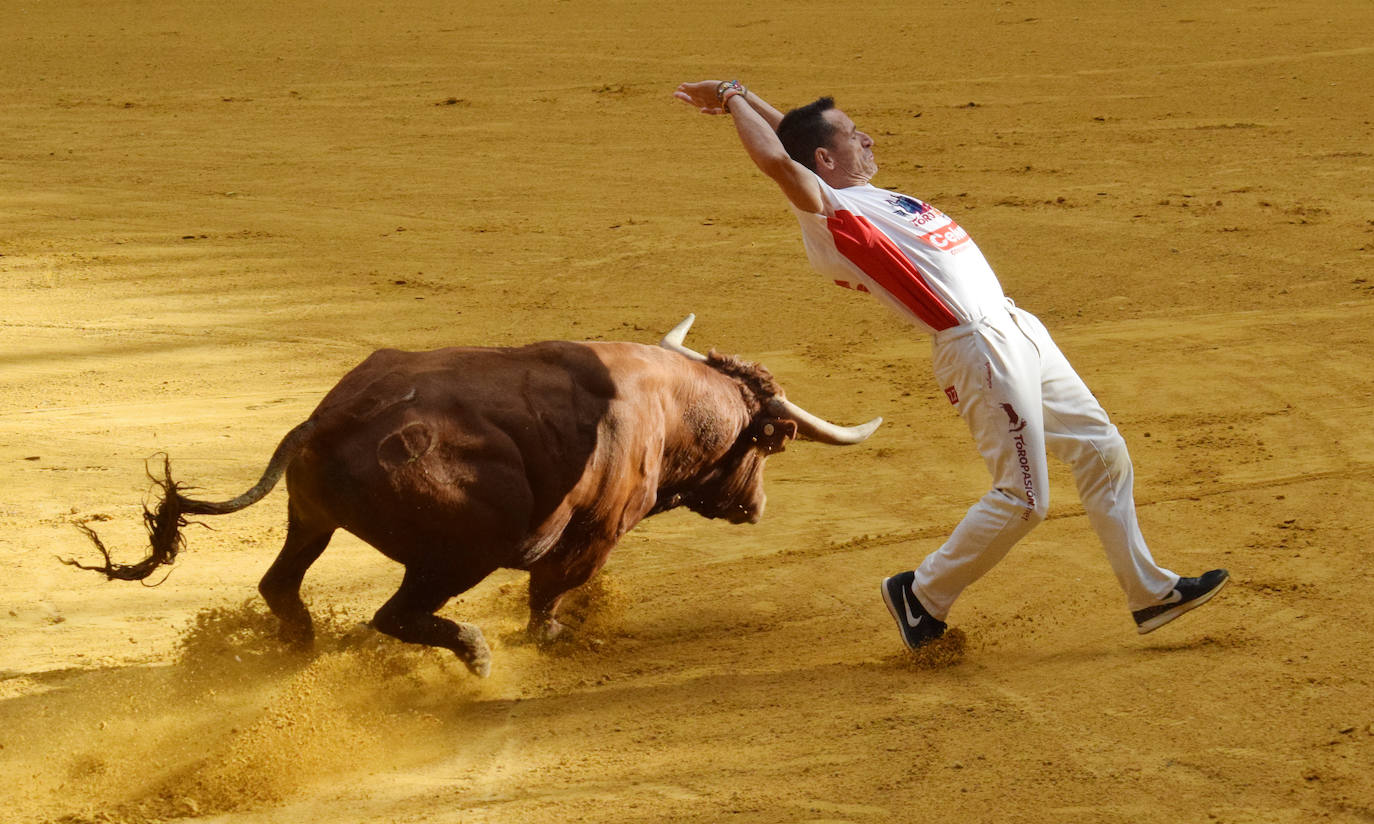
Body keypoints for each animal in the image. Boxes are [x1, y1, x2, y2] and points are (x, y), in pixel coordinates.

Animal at [64, 315, 879, 675]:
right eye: (769, 443)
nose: (756, 507)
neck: (671, 406)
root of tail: (331, 416)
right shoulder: (595, 534)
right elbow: (550, 596)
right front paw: (556, 638)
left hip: (311, 520)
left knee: (281, 583)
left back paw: (300, 647)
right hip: (459, 554)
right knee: (395, 613)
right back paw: (475, 653)